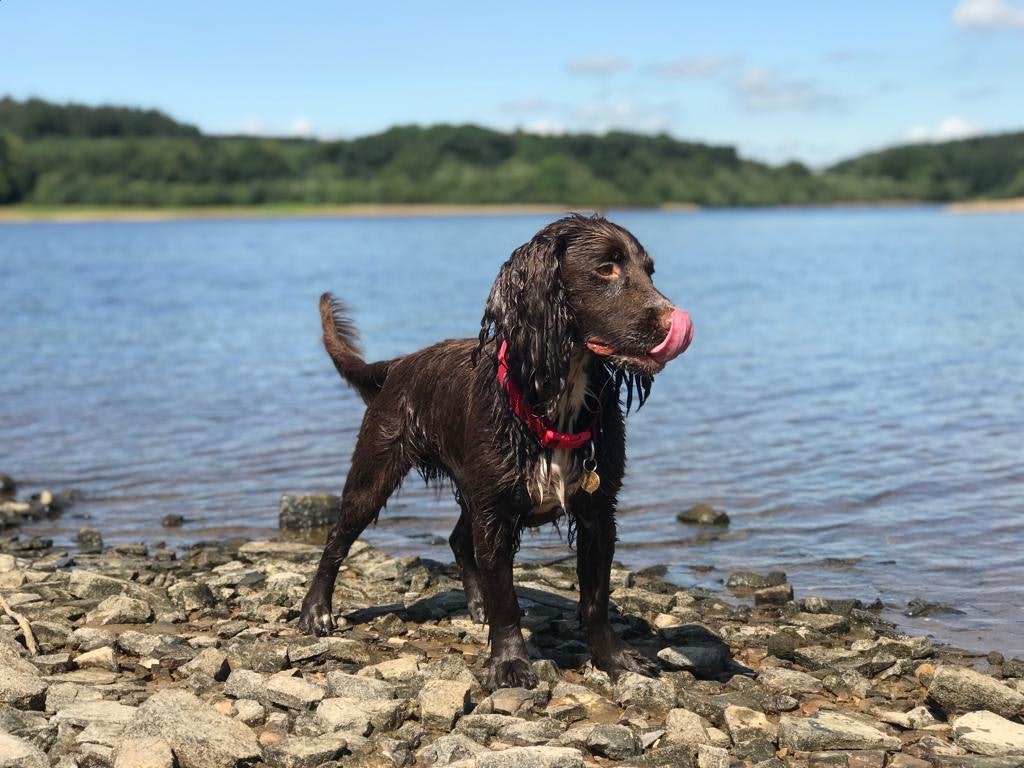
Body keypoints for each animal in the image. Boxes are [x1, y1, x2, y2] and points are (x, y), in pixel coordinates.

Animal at [299, 211, 692, 692]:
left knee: (456, 538)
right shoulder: (496, 513)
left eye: (649, 271)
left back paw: (476, 604)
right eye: (606, 268)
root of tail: (399, 364)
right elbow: (506, 598)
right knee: (337, 537)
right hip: (376, 470)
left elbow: (595, 599)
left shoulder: (598, 512)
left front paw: (614, 658)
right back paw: (316, 611)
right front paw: (509, 664)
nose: (675, 321)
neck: (555, 397)